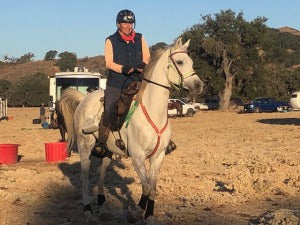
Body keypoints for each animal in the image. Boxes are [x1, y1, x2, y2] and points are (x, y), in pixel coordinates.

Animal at [59, 37, 203, 224]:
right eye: (180, 62)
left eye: (191, 62)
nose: (198, 85)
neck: (153, 110)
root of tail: (83, 99)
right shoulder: (138, 157)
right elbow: (147, 186)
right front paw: (136, 213)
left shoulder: (158, 157)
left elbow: (152, 187)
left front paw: (148, 216)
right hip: (85, 148)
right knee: (85, 177)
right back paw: (88, 211)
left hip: (107, 152)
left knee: (101, 174)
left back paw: (102, 206)